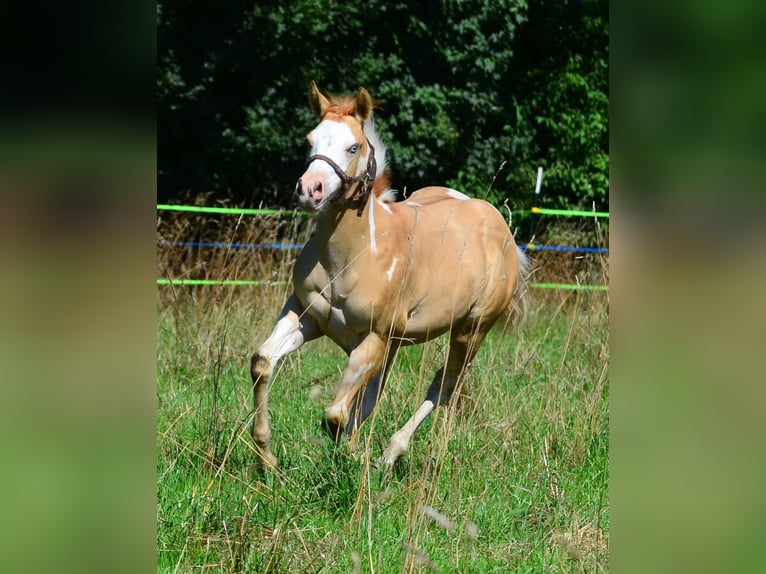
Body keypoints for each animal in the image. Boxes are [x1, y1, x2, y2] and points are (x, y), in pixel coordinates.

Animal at [250, 82, 529, 470]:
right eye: (310, 140)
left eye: (353, 146)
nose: (309, 190)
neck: (353, 256)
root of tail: (500, 226)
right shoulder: (305, 317)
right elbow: (263, 362)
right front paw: (268, 457)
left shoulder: (374, 336)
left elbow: (336, 413)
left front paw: (350, 457)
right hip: (400, 341)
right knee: (382, 389)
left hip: (470, 330)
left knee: (444, 384)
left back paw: (390, 455)